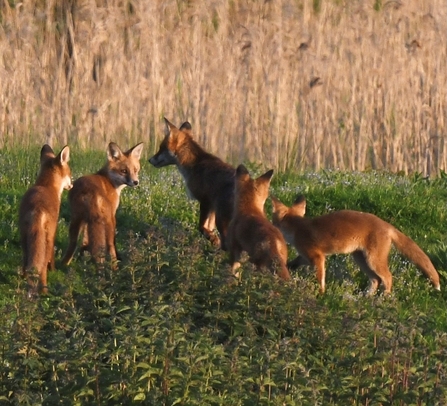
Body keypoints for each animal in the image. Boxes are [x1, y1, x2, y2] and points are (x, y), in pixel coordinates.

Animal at [19, 144, 72, 294]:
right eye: (70, 173)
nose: (71, 185)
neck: (46, 185)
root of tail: (37, 209)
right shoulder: (53, 232)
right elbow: (51, 257)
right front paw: (53, 270)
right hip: (46, 237)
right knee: (42, 265)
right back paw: (44, 289)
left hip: (24, 236)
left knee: (26, 260)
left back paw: (25, 277)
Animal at [150, 117, 236, 251]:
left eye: (161, 148)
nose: (149, 160)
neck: (194, 164)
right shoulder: (212, 206)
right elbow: (209, 227)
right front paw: (212, 241)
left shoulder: (205, 201)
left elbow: (201, 227)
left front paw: (212, 239)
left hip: (222, 220)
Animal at [272, 195, 442, 294]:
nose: (269, 226)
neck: (297, 228)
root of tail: (387, 225)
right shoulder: (305, 256)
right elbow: (291, 263)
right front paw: (284, 271)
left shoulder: (317, 257)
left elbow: (320, 278)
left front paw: (320, 293)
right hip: (361, 260)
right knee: (376, 280)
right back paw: (366, 298)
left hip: (373, 261)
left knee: (388, 278)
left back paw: (384, 299)